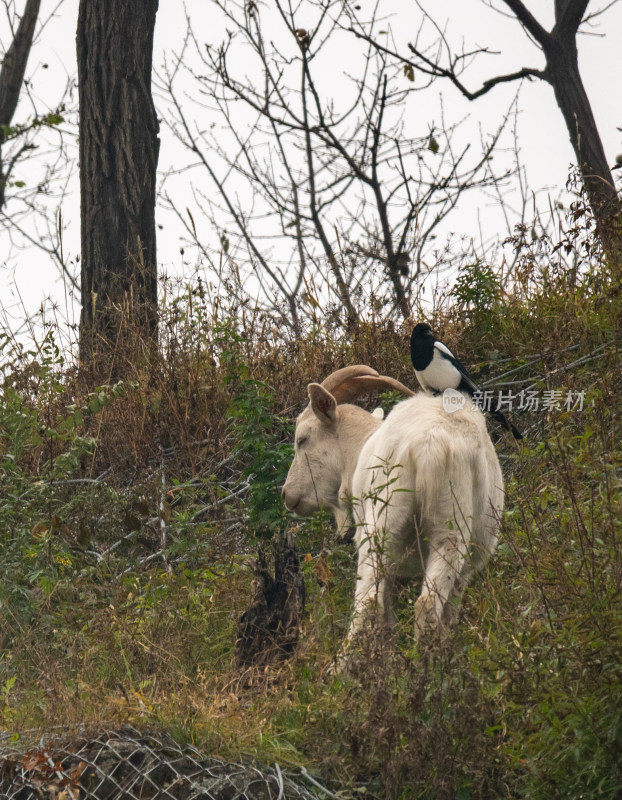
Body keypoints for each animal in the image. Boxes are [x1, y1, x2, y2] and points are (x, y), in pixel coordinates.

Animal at [284, 366, 508, 652]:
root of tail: (431, 443)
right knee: (428, 605)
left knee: (367, 603)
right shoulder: (466, 570)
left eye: (302, 439)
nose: (287, 494)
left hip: (382, 526)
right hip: (450, 530)